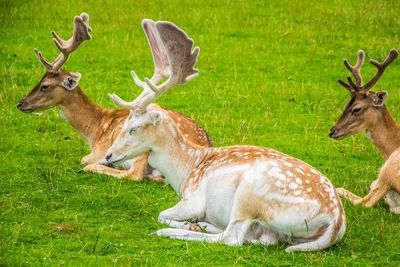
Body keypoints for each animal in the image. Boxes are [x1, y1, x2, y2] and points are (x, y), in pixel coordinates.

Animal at [16, 12, 212, 180]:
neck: (93, 130)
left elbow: (84, 158)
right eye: (40, 80)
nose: (21, 104)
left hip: (142, 148)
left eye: (45, 86)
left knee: (134, 174)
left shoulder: (100, 149)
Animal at [104, 21, 346, 253]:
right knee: (263, 240)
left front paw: (186, 224)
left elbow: (162, 214)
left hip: (249, 194)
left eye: (134, 128)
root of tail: (336, 223)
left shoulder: (192, 201)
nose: (108, 155)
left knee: (232, 238)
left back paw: (169, 232)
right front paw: (196, 223)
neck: (185, 171)